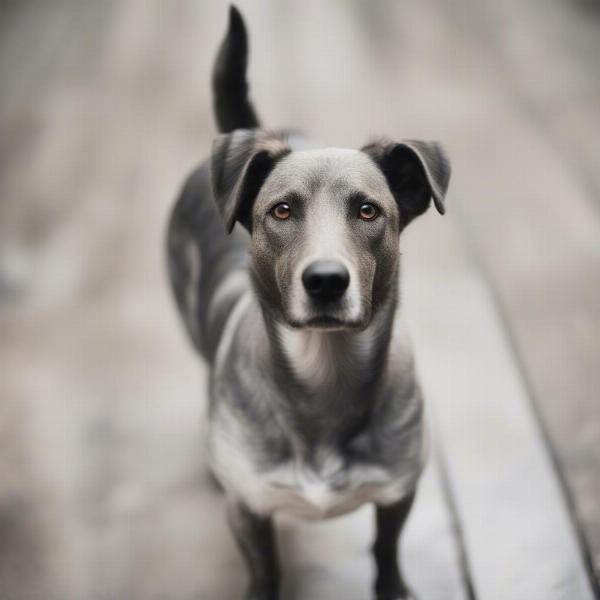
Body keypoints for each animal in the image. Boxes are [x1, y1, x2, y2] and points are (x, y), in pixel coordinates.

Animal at [168, 5, 450, 600]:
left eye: (368, 210)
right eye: (281, 210)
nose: (325, 280)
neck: (326, 374)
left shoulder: (398, 492)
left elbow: (386, 549)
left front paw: (393, 587)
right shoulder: (249, 512)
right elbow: (264, 570)